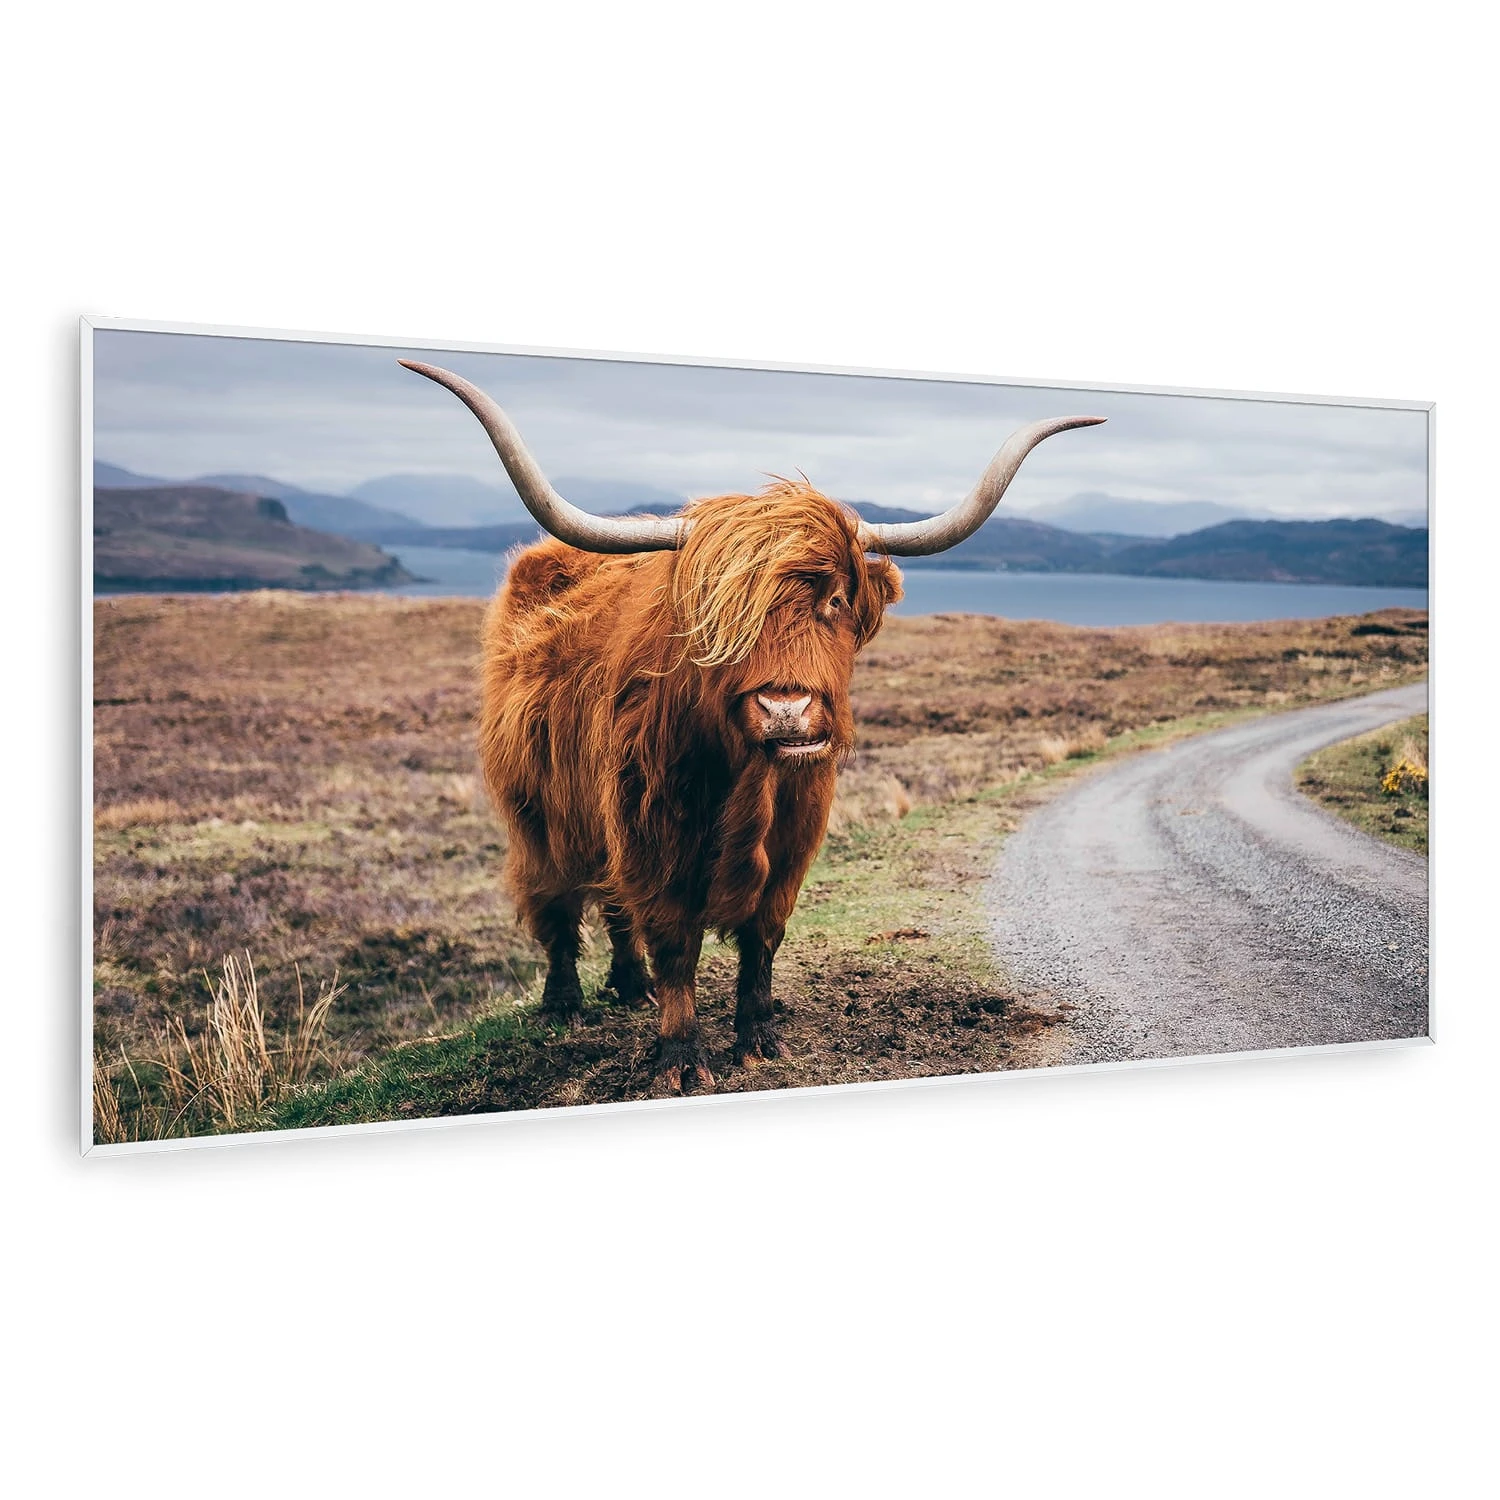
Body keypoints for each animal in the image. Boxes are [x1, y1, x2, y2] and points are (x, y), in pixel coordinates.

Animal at [400, 360, 1103, 1093]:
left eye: (836, 600)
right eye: (719, 613)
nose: (786, 710)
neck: (746, 783)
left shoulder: (793, 838)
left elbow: (762, 938)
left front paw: (759, 1039)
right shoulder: (652, 834)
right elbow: (675, 943)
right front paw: (681, 1058)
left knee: (613, 907)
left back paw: (629, 987)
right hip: (536, 809)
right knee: (557, 902)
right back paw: (566, 1003)